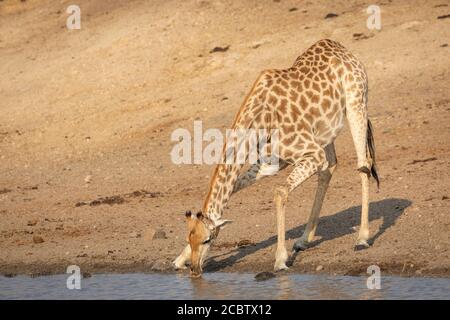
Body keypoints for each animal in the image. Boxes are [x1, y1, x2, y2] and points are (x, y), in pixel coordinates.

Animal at [174, 38, 378, 276]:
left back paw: (362, 237)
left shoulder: (311, 153)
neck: (260, 119)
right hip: (326, 130)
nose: (195, 270)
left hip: (356, 105)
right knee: (330, 167)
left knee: (363, 164)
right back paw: (303, 240)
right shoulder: (272, 162)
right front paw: (179, 259)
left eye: (207, 240)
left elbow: (280, 192)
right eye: (190, 238)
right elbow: (235, 188)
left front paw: (280, 259)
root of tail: (342, 49)